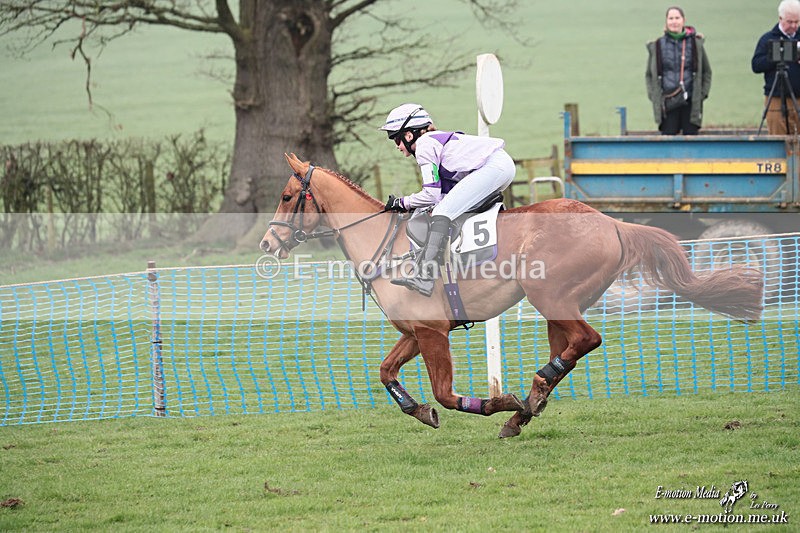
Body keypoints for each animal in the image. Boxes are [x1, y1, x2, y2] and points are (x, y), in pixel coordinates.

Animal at [260, 153, 763, 438]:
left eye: (286, 196)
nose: (266, 244)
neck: (387, 244)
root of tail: (612, 222)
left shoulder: (433, 332)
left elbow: (446, 394)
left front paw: (496, 402)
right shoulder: (415, 332)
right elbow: (386, 373)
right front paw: (417, 410)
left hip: (549, 293)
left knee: (587, 340)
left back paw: (530, 395)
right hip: (559, 305)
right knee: (571, 347)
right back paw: (528, 407)